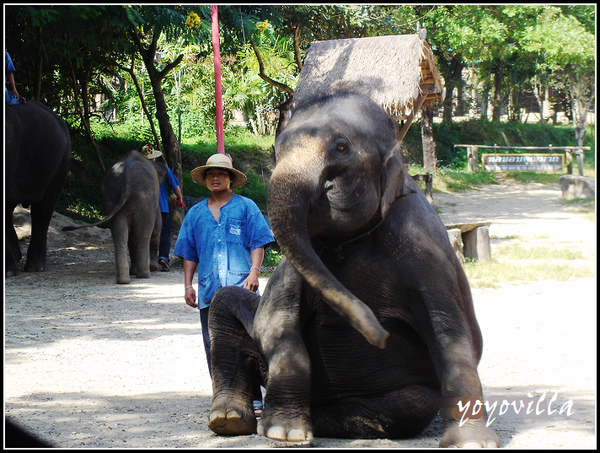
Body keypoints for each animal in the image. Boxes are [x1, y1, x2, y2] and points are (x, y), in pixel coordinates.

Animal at [62, 150, 166, 284]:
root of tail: (127, 179)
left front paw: (135, 271)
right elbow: (157, 228)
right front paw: (152, 268)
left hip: (112, 196)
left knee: (120, 235)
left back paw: (124, 280)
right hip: (144, 199)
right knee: (143, 235)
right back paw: (144, 275)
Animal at [204, 93, 500, 446]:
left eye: (341, 147)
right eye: (277, 148)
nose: (378, 334)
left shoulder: (427, 254)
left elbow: (451, 335)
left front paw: (471, 442)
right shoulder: (297, 265)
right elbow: (273, 320)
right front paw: (285, 432)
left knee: (410, 405)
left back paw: (319, 420)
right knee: (224, 303)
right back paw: (230, 420)